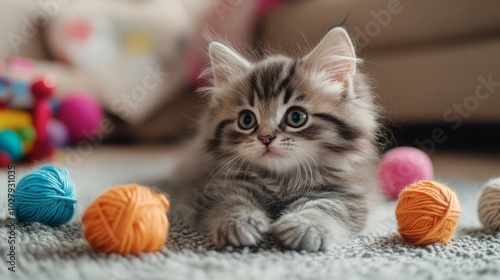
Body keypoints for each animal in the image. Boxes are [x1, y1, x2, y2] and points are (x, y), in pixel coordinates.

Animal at [182, 27, 380, 252]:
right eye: (246, 120)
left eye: (296, 117)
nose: (265, 138)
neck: (281, 180)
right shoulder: (219, 186)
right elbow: (230, 201)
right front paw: (240, 222)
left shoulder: (346, 194)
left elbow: (325, 207)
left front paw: (305, 226)